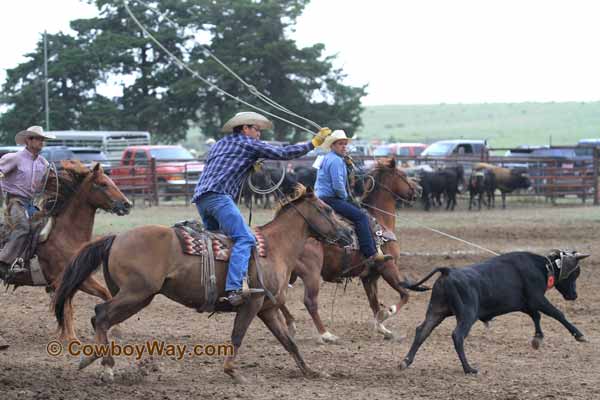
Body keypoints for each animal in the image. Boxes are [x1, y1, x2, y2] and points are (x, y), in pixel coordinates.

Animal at [1, 161, 129, 342]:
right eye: (103, 184)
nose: (127, 204)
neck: (66, 235)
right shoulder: (60, 280)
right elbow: (66, 307)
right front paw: (71, 338)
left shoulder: (80, 277)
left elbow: (105, 294)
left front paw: (116, 330)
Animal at [52, 186, 352, 382]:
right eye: (327, 209)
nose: (348, 232)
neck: (274, 248)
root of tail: (116, 236)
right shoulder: (252, 303)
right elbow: (237, 335)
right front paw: (232, 371)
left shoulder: (267, 308)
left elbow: (289, 342)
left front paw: (311, 371)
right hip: (136, 294)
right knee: (100, 314)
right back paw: (107, 366)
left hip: (136, 297)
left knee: (101, 319)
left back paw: (91, 359)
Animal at [280, 158, 422, 342]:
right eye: (403, 175)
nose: (419, 190)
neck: (381, 222)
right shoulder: (388, 267)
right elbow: (405, 294)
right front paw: (387, 313)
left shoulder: (369, 276)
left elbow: (374, 303)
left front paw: (383, 329)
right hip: (311, 273)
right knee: (309, 301)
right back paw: (325, 334)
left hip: (289, 273)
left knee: (279, 297)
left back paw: (291, 325)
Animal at [400, 250, 588, 376]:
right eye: (574, 274)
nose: (574, 295)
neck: (543, 267)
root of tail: (449, 271)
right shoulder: (538, 299)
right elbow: (557, 314)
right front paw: (579, 335)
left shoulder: (525, 304)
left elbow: (536, 316)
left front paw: (537, 338)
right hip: (468, 315)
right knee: (457, 335)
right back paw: (468, 368)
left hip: (436, 311)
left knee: (422, 331)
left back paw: (406, 361)